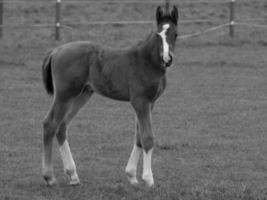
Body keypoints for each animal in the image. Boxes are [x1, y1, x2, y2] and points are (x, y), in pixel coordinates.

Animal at [42, 6, 179, 188]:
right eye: (158, 35)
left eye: (175, 34)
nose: (167, 58)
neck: (147, 61)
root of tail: (57, 50)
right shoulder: (140, 101)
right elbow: (147, 137)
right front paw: (148, 179)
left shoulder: (150, 102)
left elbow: (139, 137)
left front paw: (132, 176)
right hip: (64, 95)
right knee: (50, 124)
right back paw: (49, 177)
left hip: (82, 95)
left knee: (62, 126)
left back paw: (73, 175)